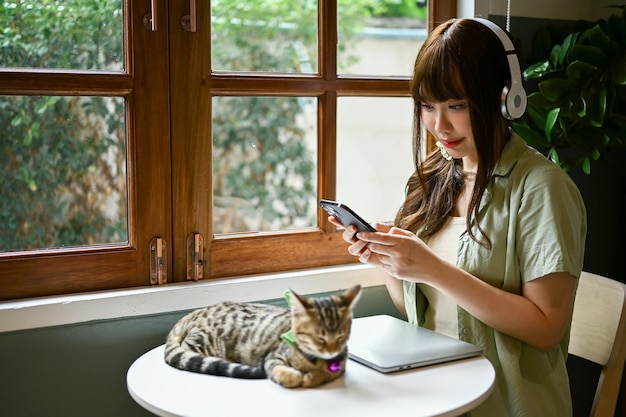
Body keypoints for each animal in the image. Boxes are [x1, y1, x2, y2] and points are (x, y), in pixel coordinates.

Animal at [163, 284, 360, 388]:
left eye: (341, 337)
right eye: (319, 338)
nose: (331, 350)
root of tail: (198, 311)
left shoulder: (340, 364)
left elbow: (330, 373)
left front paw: (314, 376)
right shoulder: (273, 357)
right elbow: (280, 371)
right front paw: (296, 376)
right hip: (207, 341)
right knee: (187, 349)